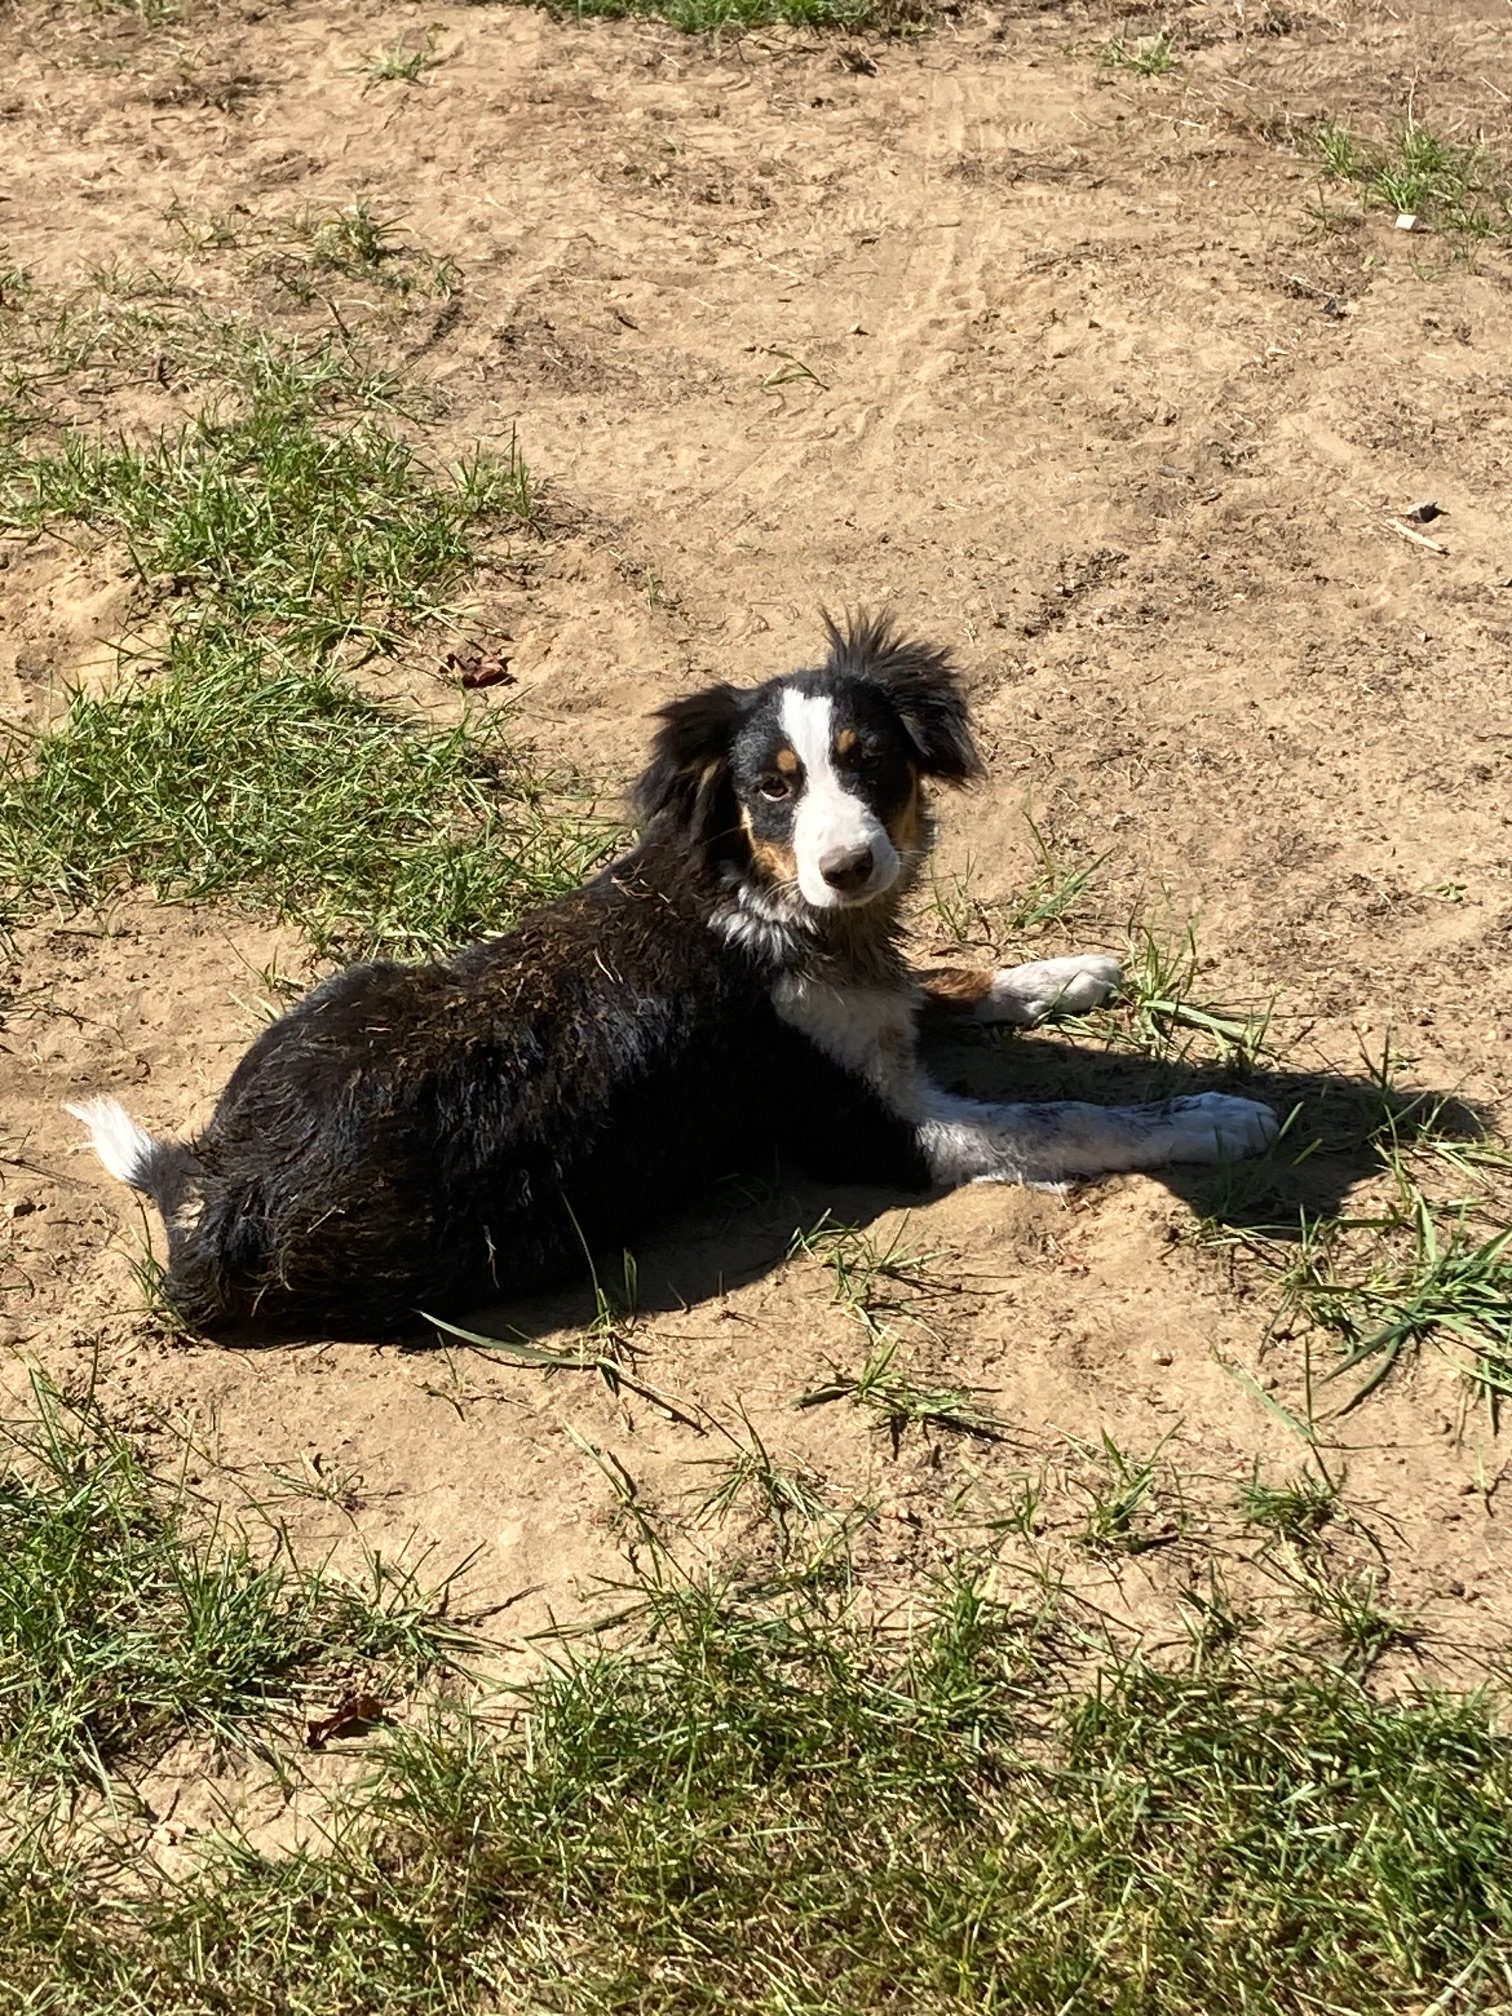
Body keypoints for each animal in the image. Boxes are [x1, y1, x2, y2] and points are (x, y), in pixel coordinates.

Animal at [66, 614, 1277, 1337]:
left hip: (353, 984)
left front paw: (1069, 973)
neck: (766, 897)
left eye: (872, 765)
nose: (850, 865)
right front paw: (1215, 1118)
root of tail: (213, 1192)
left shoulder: (866, 997)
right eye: (772, 787)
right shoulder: (875, 1134)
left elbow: (943, 980)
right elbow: (1067, 1117)